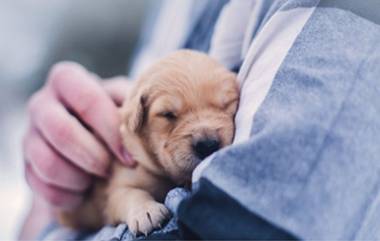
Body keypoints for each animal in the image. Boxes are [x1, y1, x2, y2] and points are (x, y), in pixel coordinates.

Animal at [58, 49, 238, 235]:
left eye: (226, 104)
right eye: (168, 114)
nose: (207, 145)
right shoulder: (118, 186)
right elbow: (130, 194)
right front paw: (146, 211)